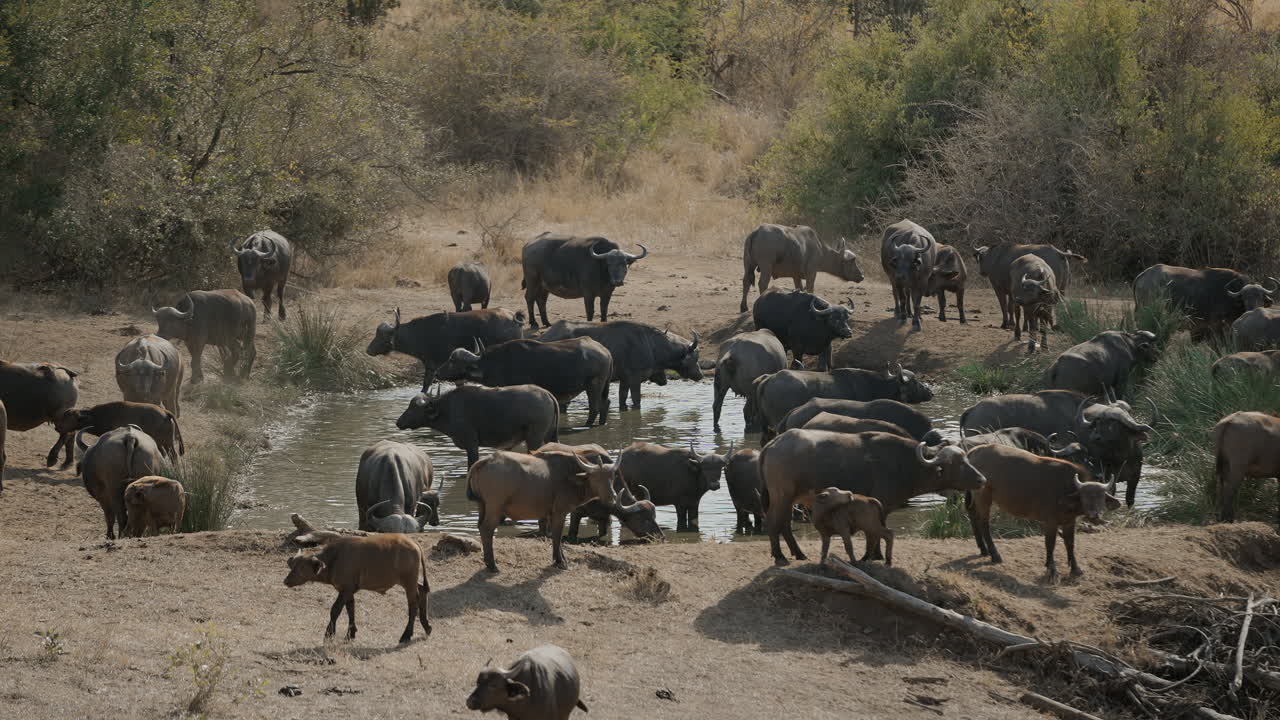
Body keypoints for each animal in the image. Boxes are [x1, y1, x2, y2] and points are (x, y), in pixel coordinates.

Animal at [284, 534, 431, 645]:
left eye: (300, 569)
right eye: (292, 566)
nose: (286, 581)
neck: (335, 559)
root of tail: (413, 542)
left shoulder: (345, 590)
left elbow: (335, 610)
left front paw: (329, 634)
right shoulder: (348, 591)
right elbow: (351, 610)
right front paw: (351, 634)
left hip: (408, 582)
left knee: (413, 605)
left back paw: (406, 635)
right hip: (411, 581)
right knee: (422, 591)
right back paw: (427, 626)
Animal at [367, 307, 524, 391]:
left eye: (382, 336)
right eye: (376, 333)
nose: (368, 350)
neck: (420, 334)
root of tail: (513, 316)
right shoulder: (431, 367)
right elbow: (425, 387)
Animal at [435, 338, 613, 427]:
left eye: (452, 360)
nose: (437, 373)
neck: (497, 362)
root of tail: (606, 352)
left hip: (594, 385)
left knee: (595, 407)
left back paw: (586, 425)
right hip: (604, 386)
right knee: (606, 403)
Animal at [541, 320, 701, 411]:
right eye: (695, 358)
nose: (700, 375)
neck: (651, 345)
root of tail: (544, 336)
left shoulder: (624, 380)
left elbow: (622, 399)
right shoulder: (635, 380)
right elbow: (636, 400)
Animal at [760, 430, 984, 565]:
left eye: (966, 459)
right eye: (957, 464)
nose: (982, 479)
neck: (906, 465)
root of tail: (774, 442)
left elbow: (876, 531)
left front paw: (875, 555)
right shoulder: (880, 502)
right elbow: (874, 532)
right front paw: (874, 556)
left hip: (790, 500)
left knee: (785, 524)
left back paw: (799, 554)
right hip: (781, 496)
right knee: (773, 522)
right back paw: (780, 556)